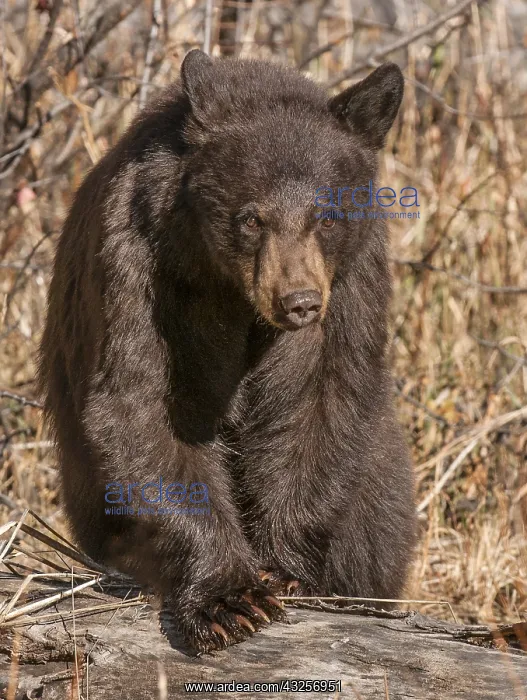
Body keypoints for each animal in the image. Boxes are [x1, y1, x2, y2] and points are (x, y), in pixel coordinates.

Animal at [38, 49, 417, 654]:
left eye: (326, 216)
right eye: (252, 217)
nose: (298, 301)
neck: (226, 286)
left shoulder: (350, 285)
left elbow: (320, 401)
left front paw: (284, 572)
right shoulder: (141, 268)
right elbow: (142, 407)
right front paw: (229, 600)